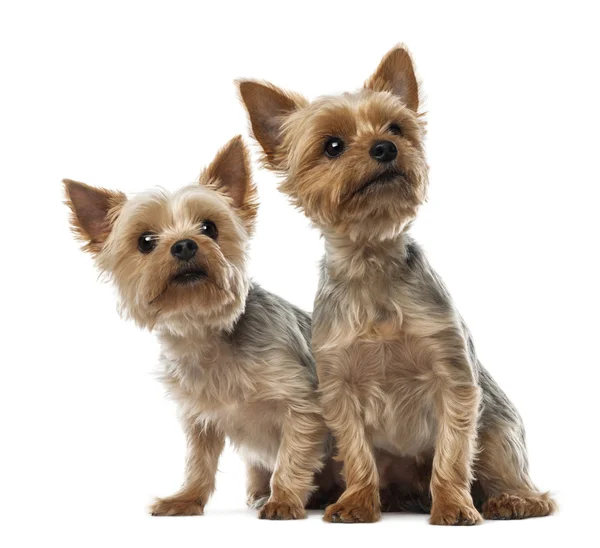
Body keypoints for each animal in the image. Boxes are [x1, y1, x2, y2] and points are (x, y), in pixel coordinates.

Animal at [239, 45, 556, 524]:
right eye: (332, 146)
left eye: (396, 127)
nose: (385, 147)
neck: (372, 264)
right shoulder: (339, 388)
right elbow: (356, 452)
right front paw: (356, 503)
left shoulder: (453, 378)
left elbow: (452, 452)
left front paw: (453, 506)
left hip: (498, 432)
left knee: (517, 478)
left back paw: (511, 500)